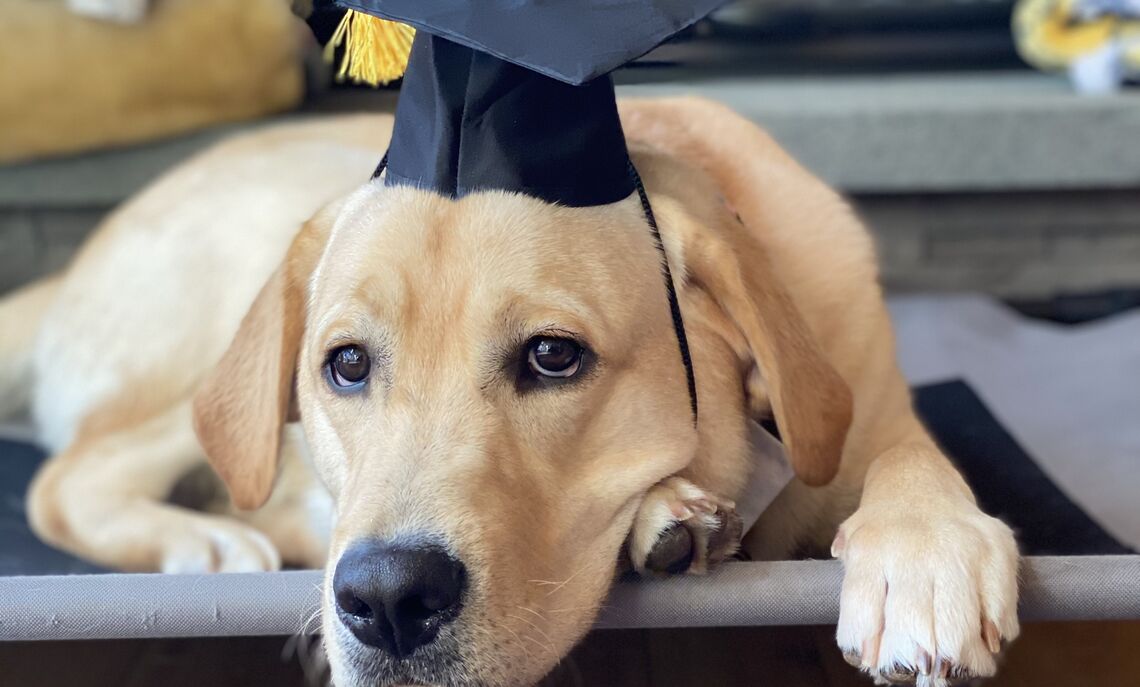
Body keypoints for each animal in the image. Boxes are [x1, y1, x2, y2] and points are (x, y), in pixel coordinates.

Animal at [0, 97, 1016, 687]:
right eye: (348, 365)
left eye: (553, 356)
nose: (384, 600)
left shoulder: (866, 401)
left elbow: (910, 453)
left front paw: (927, 550)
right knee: (68, 480)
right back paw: (205, 542)